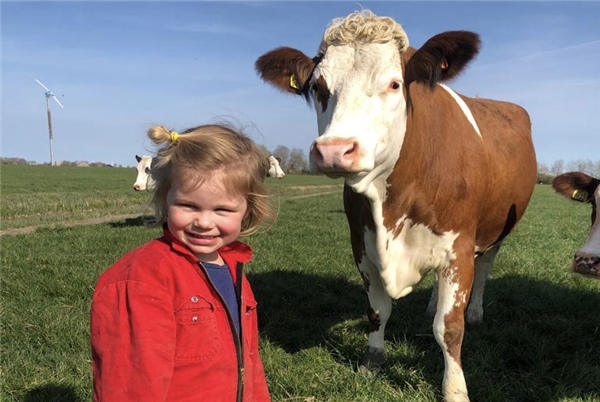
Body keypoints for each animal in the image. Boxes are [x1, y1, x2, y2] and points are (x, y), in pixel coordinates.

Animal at [255, 9, 536, 402]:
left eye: (394, 84)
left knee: (484, 268)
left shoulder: (459, 248)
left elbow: (449, 327)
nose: (333, 150)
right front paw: (372, 361)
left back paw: (476, 310)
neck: (392, 206)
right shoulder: (362, 245)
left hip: (496, 228)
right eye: (318, 87)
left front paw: (455, 389)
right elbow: (378, 310)